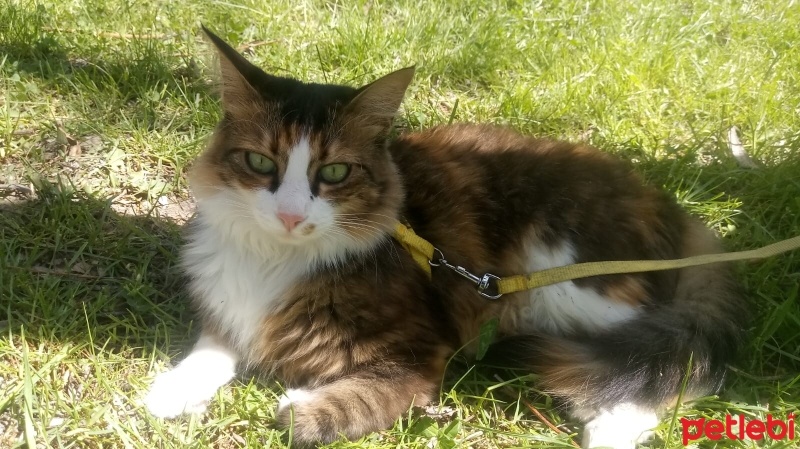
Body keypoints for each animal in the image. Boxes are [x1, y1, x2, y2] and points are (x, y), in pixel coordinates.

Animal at [142, 28, 744, 448]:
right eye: (260, 163)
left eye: (334, 172)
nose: (290, 215)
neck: (276, 260)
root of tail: (665, 202)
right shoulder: (231, 311)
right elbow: (211, 350)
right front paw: (171, 390)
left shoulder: (416, 352)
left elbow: (348, 404)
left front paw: (301, 410)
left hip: (564, 282)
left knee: (672, 361)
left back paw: (613, 428)